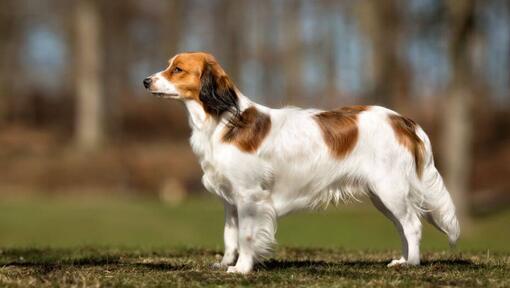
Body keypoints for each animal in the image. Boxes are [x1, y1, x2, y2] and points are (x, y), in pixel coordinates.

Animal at [142, 51, 458, 274]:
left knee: (413, 225)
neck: (222, 120)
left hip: (390, 189)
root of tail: (402, 120)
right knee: (403, 227)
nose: (145, 81)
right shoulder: (230, 201)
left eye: (177, 69)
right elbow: (230, 236)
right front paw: (225, 263)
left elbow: (245, 236)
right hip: (382, 196)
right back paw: (403, 259)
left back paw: (411, 264)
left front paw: (241, 269)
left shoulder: (249, 196)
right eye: (169, 65)